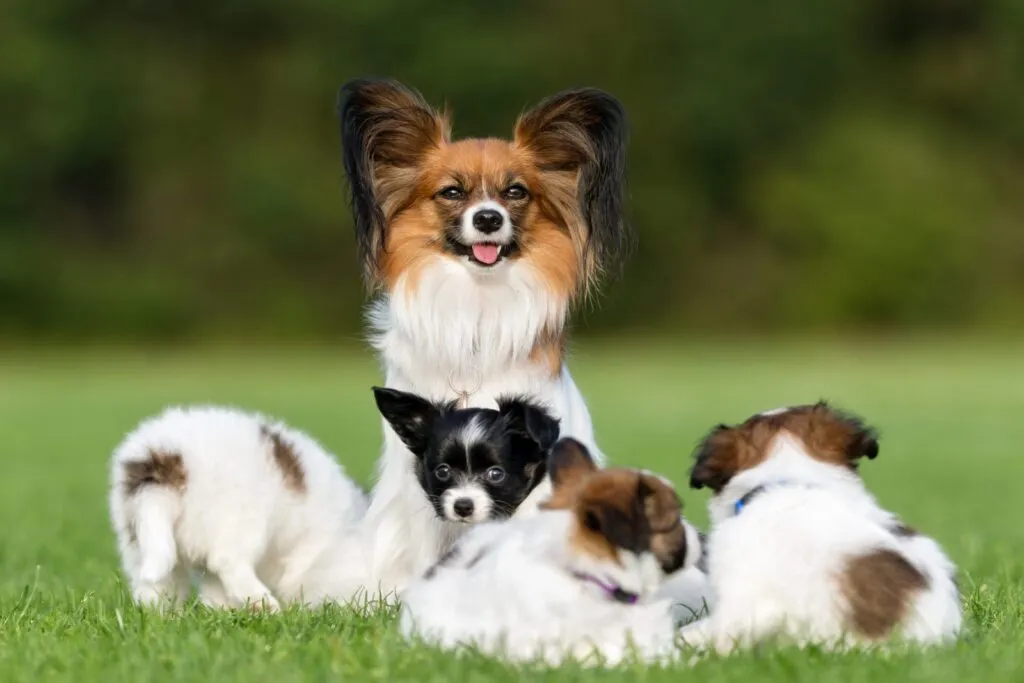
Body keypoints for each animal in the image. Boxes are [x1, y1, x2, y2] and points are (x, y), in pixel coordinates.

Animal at [108, 405, 370, 610]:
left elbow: (214, 590)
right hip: (243, 520)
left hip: (140, 536)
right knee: (226, 561)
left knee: (156, 586)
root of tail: (168, 459)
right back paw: (264, 605)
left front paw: (221, 612)